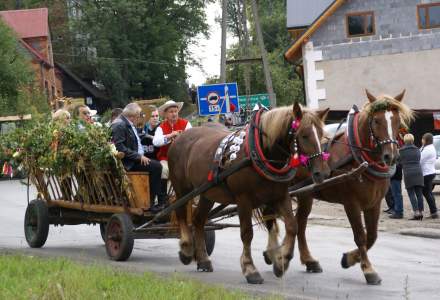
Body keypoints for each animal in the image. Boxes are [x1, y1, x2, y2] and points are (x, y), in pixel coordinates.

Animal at [168, 103, 330, 284]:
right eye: (304, 135)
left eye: (322, 134)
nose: (322, 173)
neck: (261, 152)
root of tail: (180, 137)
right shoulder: (243, 200)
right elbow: (247, 233)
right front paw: (250, 269)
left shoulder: (279, 196)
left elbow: (292, 225)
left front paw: (282, 260)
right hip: (182, 188)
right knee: (181, 213)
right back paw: (187, 249)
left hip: (206, 192)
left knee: (198, 220)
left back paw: (203, 260)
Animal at [292, 90, 412, 284]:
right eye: (376, 120)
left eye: (396, 121)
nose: (391, 156)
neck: (359, 159)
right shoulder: (351, 203)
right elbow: (360, 236)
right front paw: (368, 269)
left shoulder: (374, 203)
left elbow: (372, 236)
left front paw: (348, 259)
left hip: (305, 195)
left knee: (300, 223)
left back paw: (309, 261)